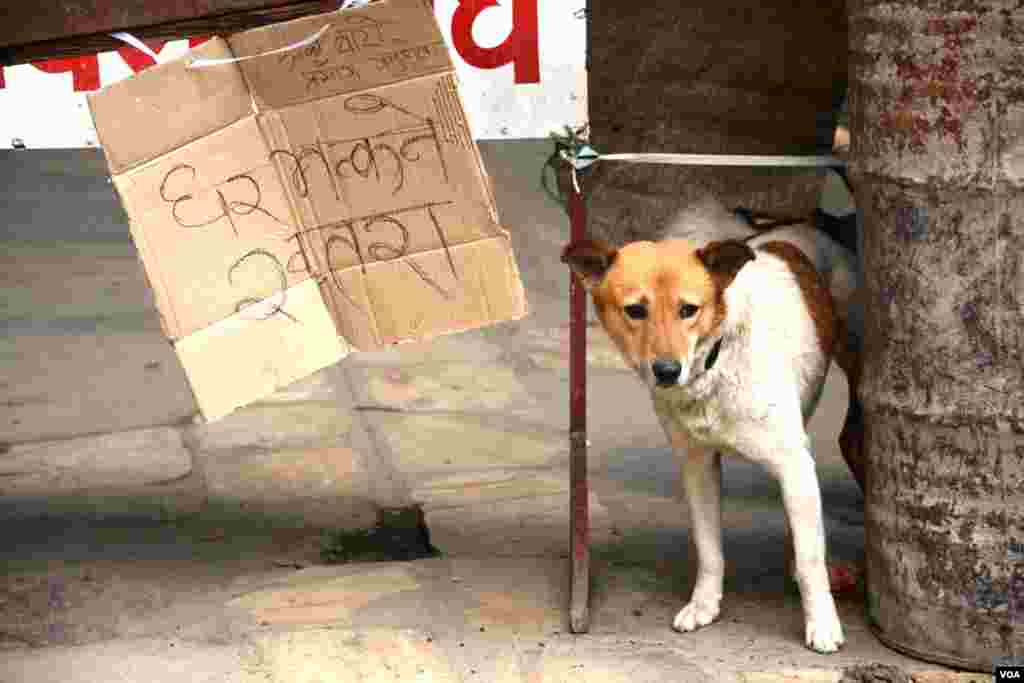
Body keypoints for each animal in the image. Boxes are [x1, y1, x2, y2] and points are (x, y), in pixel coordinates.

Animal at [561, 196, 864, 651]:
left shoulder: (793, 464)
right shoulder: (697, 465)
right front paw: (705, 605)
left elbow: (813, 560)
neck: (714, 365)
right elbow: (708, 548)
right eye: (635, 310)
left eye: (689, 310)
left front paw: (823, 624)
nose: (667, 371)